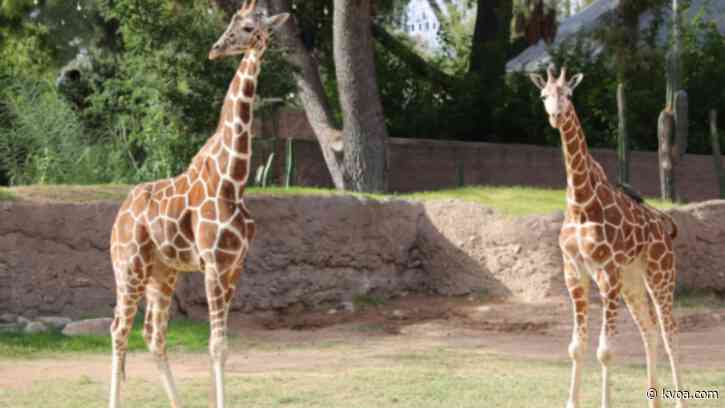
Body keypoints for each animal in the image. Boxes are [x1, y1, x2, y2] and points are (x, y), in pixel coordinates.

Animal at [108, 3, 289, 407]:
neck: (232, 180)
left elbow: (220, 345)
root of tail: (118, 217)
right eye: (231, 23)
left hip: (163, 272)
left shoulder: (235, 267)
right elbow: (217, 345)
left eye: (250, 27)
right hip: (129, 267)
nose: (216, 49)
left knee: (153, 334)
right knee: (118, 329)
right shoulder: (214, 265)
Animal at [530, 65, 687, 408]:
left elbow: (605, 351)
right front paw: (572, 402)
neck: (581, 202)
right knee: (649, 331)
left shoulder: (607, 274)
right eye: (544, 95)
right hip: (632, 281)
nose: (556, 116)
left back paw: (680, 400)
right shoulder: (574, 272)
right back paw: (654, 401)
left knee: (670, 333)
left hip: (660, 275)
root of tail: (664, 227)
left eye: (568, 94)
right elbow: (576, 347)